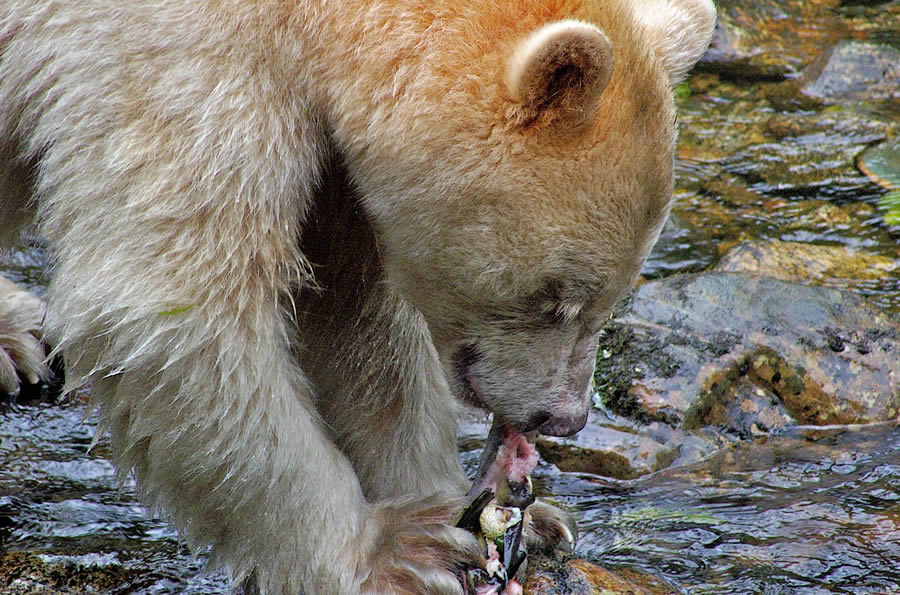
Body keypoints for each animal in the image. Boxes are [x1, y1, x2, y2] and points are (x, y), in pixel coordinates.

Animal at [1, 1, 716, 592]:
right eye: (558, 297)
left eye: (613, 297)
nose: (563, 418)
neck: (312, 17)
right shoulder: (182, 64)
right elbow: (170, 304)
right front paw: (397, 555)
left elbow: (359, 318)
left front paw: (510, 519)